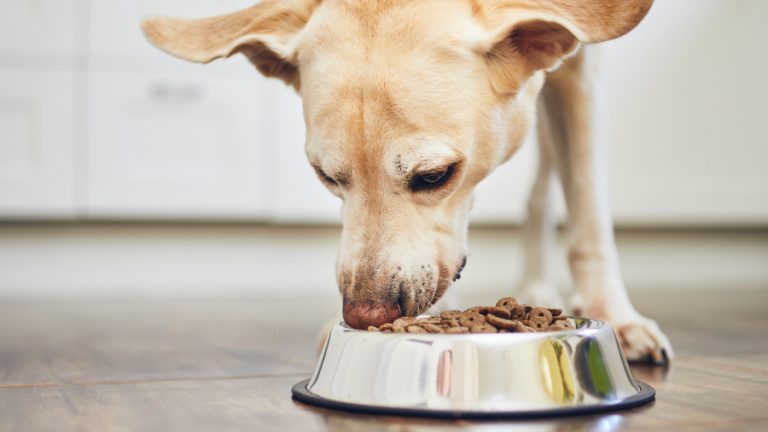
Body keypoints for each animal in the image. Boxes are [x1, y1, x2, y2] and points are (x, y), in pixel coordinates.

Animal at [142, 0, 672, 362]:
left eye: (435, 175)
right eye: (326, 176)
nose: (362, 316)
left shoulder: (583, 70)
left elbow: (588, 213)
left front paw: (618, 317)